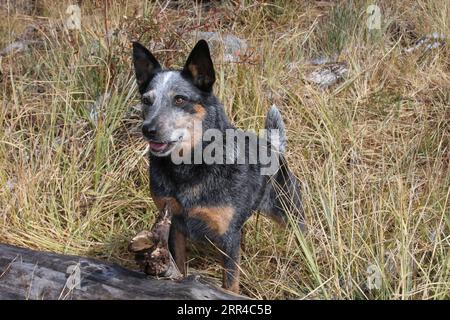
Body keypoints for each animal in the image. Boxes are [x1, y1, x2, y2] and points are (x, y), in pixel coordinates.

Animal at [132, 39, 304, 292]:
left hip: (289, 213)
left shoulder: (229, 237)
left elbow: (230, 284)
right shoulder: (174, 225)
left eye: (180, 99)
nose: (148, 129)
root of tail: (274, 146)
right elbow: (179, 267)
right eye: (146, 100)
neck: (190, 168)